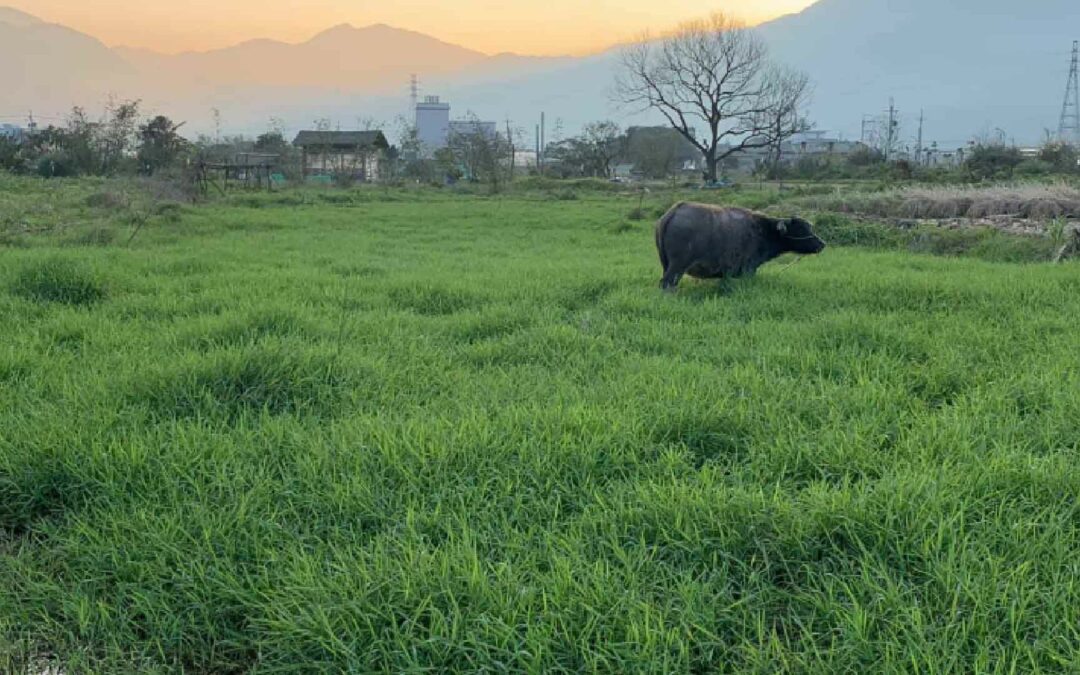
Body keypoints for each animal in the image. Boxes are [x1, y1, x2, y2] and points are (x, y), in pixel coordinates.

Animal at [648, 203, 825, 291]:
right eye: (802, 229)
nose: (822, 244)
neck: (763, 230)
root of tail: (672, 213)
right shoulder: (749, 269)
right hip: (677, 266)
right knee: (667, 283)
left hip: (666, 264)